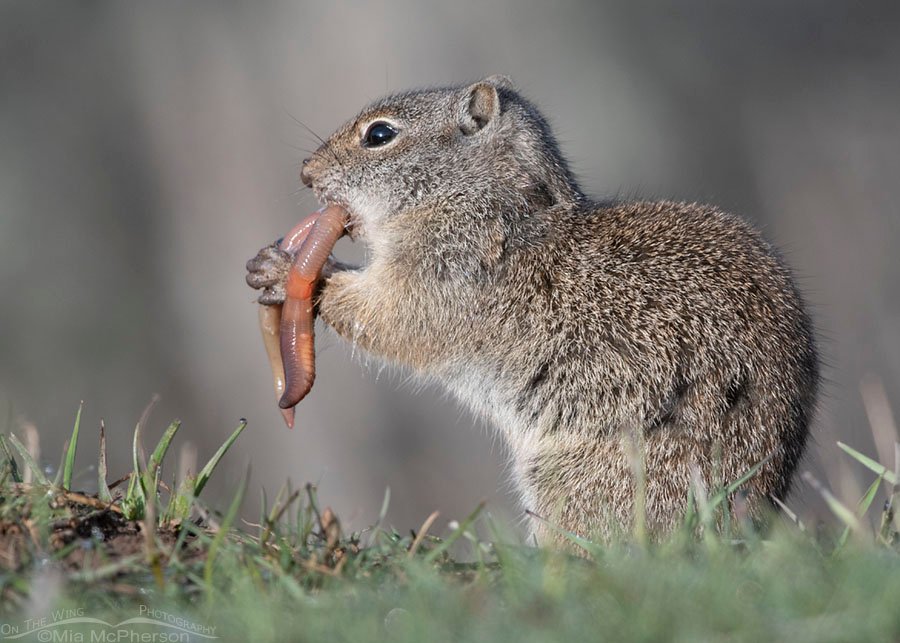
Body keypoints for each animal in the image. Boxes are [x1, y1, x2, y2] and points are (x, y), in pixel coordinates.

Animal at [246, 75, 819, 544]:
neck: (481, 199)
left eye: (380, 135)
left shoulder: (449, 273)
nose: (306, 173)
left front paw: (288, 269)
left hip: (578, 482)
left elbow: (392, 318)